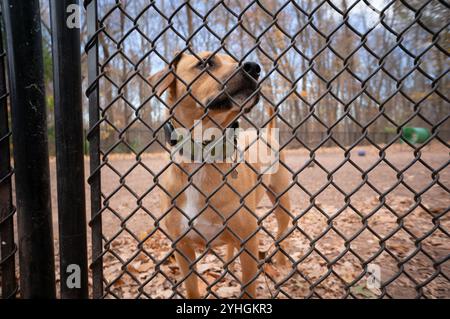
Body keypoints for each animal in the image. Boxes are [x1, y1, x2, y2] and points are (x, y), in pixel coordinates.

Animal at [151, 51, 292, 298]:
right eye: (205, 63)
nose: (254, 67)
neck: (202, 154)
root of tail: (266, 134)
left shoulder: (249, 242)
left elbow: (248, 288)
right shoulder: (182, 248)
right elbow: (192, 289)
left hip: (282, 202)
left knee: (282, 234)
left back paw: (282, 263)